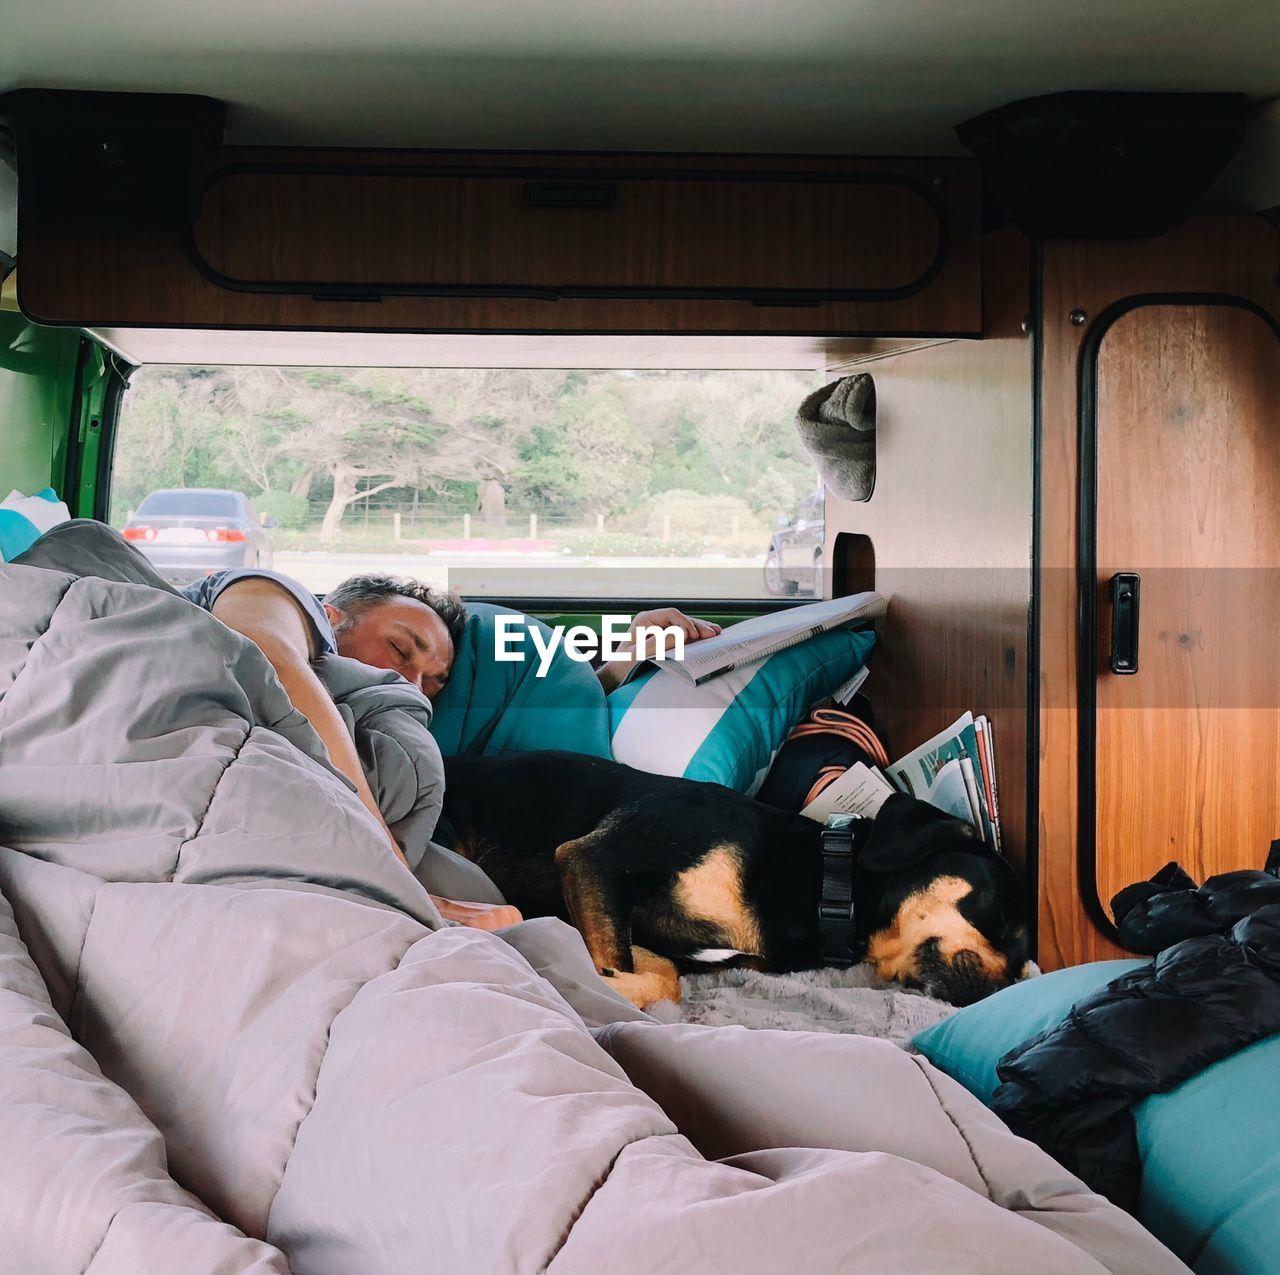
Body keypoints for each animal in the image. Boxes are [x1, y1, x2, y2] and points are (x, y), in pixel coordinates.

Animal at [440, 752, 1029, 1008]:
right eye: (1002, 917)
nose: (1003, 992)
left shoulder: (675, 953)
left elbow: (658, 978)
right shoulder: (592, 859)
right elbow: (613, 963)